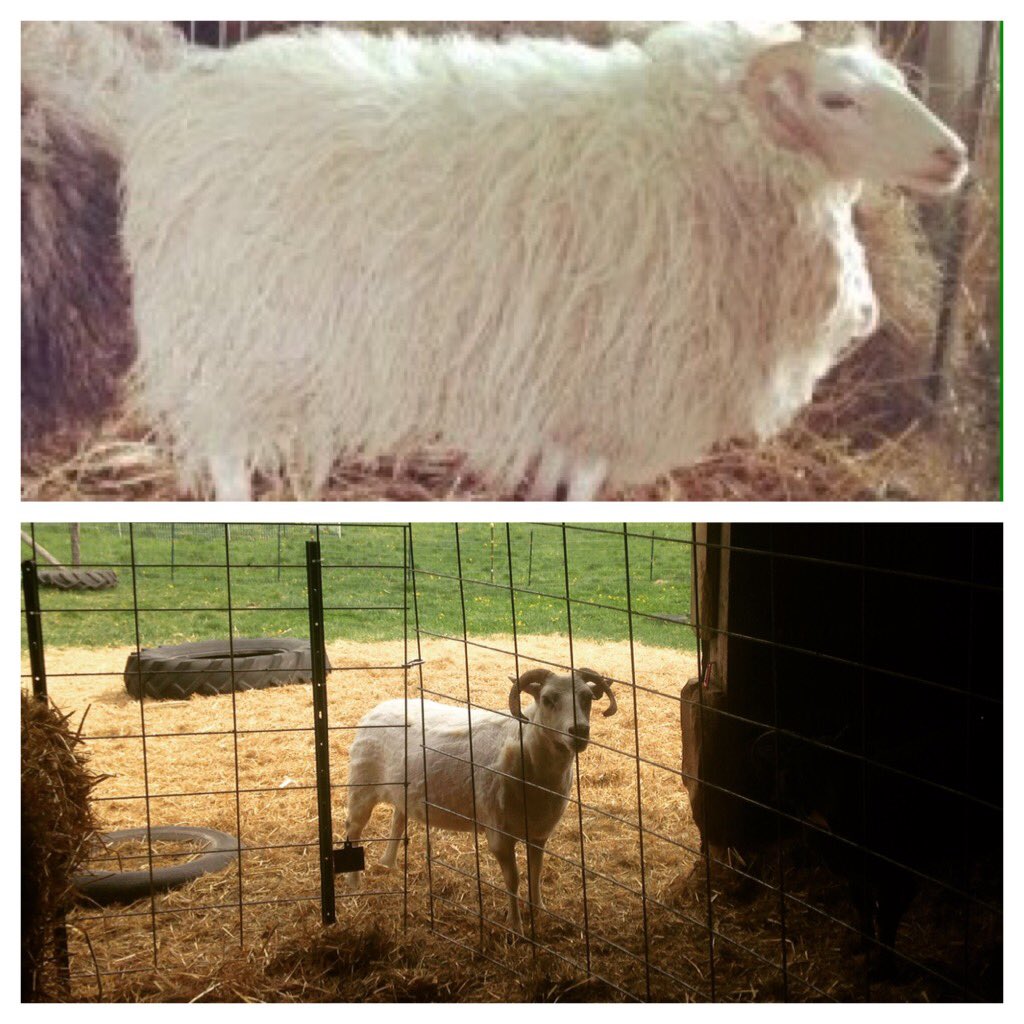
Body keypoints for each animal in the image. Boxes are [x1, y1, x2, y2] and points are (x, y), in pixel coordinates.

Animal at [120, 22, 968, 500]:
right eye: (837, 100)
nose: (955, 155)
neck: (706, 152)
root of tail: (177, 107)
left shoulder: (573, 372)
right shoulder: (619, 379)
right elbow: (585, 487)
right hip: (235, 337)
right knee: (226, 453)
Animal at [345, 668, 617, 933]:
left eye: (587, 698)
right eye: (548, 699)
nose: (579, 732)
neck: (529, 755)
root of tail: (377, 708)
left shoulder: (539, 833)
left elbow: (536, 873)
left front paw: (539, 908)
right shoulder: (499, 835)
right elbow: (513, 880)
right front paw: (515, 926)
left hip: (401, 791)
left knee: (398, 819)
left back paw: (388, 864)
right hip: (362, 786)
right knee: (353, 829)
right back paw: (354, 883)